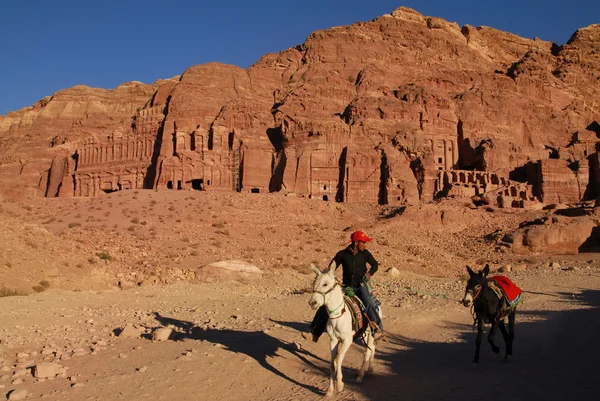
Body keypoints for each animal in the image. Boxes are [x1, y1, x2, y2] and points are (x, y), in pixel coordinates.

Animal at [310, 260, 380, 396]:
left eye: (325, 284)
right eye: (314, 283)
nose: (312, 303)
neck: (338, 316)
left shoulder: (347, 340)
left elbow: (338, 360)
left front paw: (340, 385)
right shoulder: (333, 340)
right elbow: (332, 363)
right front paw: (330, 390)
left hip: (370, 333)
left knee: (368, 351)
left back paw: (360, 377)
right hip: (364, 334)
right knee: (372, 348)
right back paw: (370, 370)